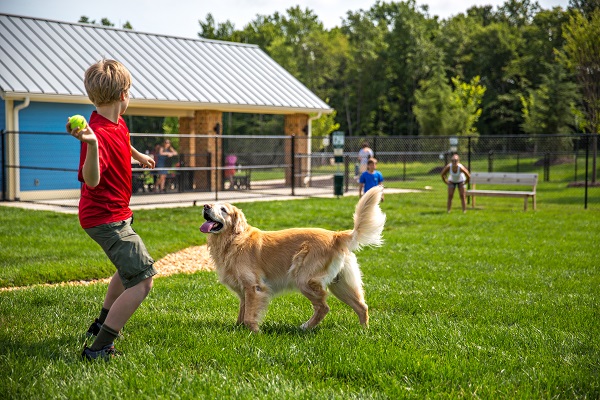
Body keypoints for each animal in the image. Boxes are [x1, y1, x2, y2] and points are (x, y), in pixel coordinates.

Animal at [199, 184, 382, 332]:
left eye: (223, 210)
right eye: (213, 205)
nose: (205, 206)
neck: (233, 240)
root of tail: (336, 235)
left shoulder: (254, 287)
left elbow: (250, 315)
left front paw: (255, 332)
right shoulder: (244, 291)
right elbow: (242, 313)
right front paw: (239, 329)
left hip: (304, 278)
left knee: (323, 307)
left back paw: (305, 327)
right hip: (340, 284)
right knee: (362, 306)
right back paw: (363, 331)